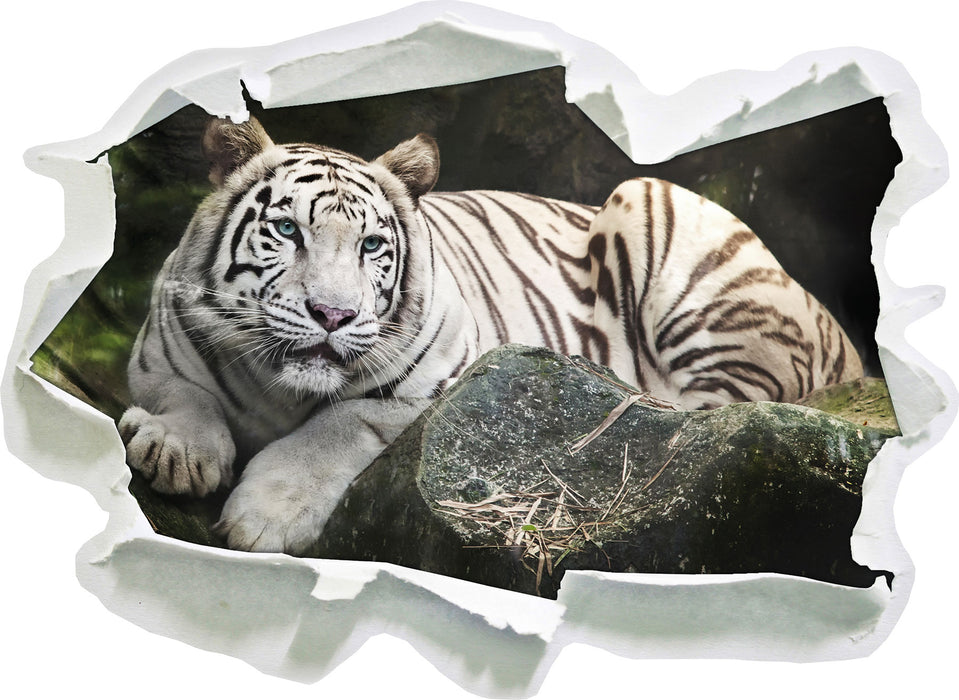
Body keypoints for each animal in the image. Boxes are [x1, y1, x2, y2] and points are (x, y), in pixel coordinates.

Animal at [117, 116, 863, 555]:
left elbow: (343, 422)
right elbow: (182, 394)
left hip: (660, 210)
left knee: (706, 412)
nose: (332, 314)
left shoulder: (435, 385)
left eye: (370, 246)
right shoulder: (158, 351)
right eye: (286, 230)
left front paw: (266, 517)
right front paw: (175, 450)